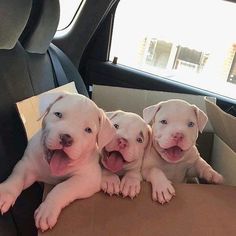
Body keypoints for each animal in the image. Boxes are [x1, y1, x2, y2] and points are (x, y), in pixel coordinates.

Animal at [0, 91, 115, 231]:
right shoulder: (26, 164)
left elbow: (62, 188)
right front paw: (5, 193)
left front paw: (47, 210)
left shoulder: (87, 178)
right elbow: (17, 177)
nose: (66, 138)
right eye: (58, 114)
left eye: (88, 130)